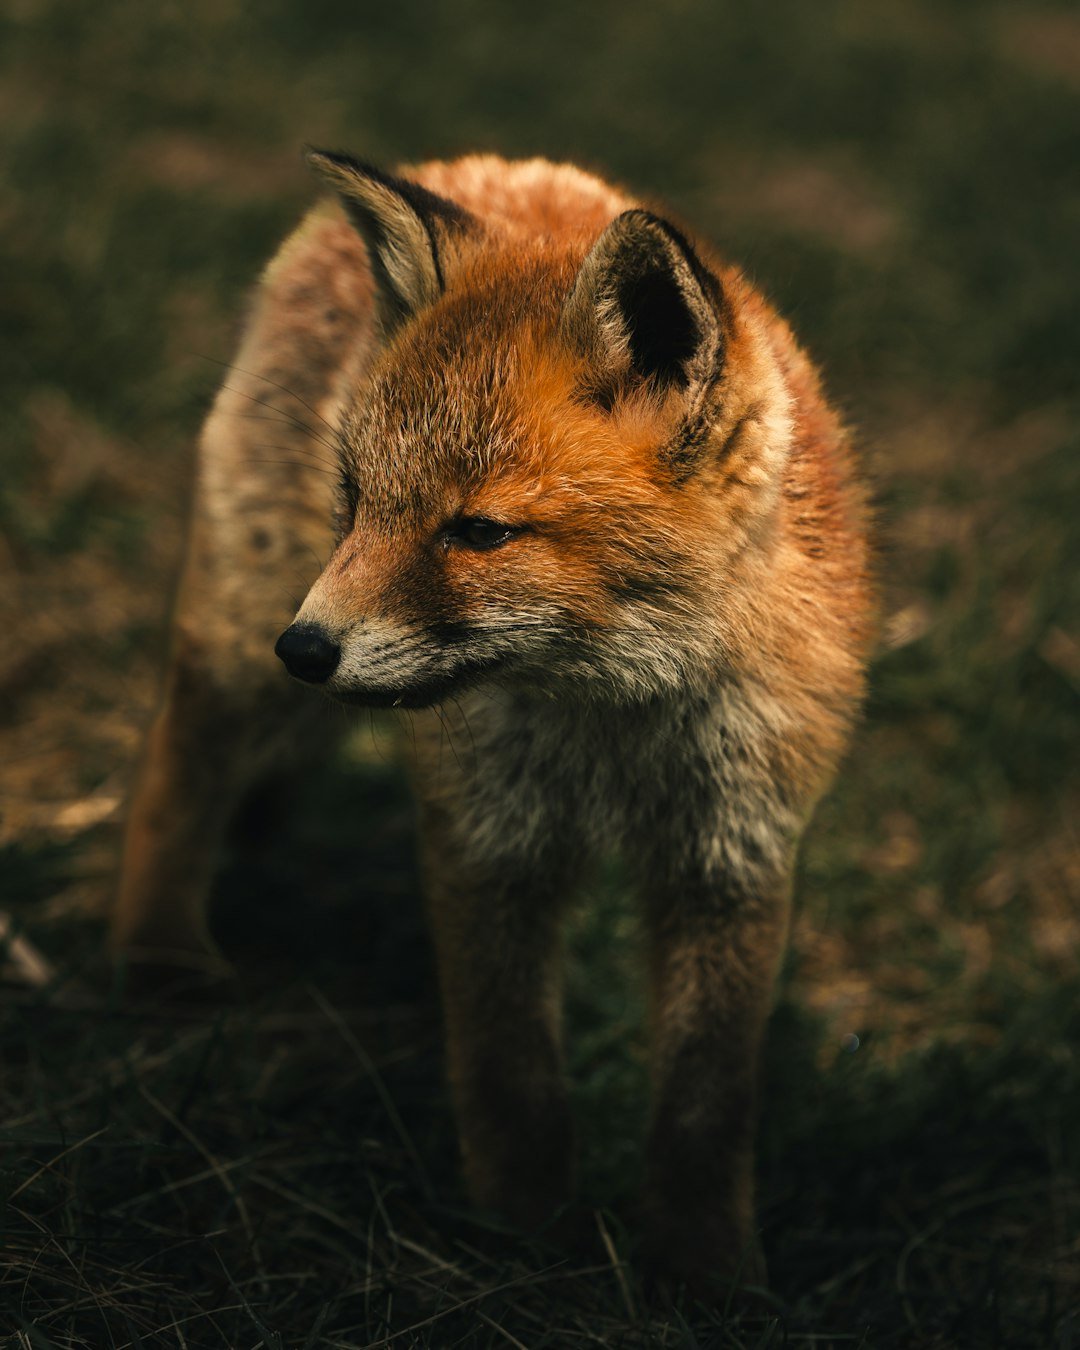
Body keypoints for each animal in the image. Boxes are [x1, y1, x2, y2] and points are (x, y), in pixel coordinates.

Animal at [112, 150, 874, 1296]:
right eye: (358, 501)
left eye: (478, 532)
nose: (307, 649)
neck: (611, 713)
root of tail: (469, 163)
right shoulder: (488, 835)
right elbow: (509, 1074)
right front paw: (521, 1243)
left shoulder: (733, 847)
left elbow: (706, 1102)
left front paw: (702, 1275)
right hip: (241, 616)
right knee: (182, 762)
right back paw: (156, 950)